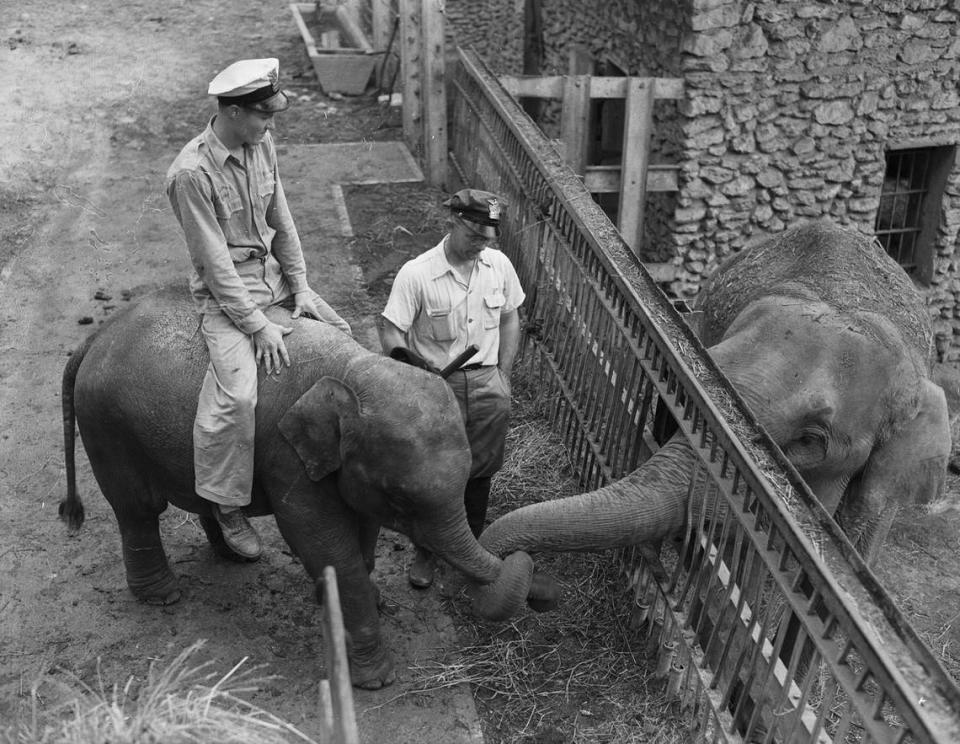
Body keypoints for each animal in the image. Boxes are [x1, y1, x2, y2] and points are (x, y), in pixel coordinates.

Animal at [60, 288, 540, 688]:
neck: (353, 370)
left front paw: (357, 601)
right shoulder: (288, 457)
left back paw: (234, 554)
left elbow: (361, 536)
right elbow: (323, 545)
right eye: (401, 499)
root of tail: (93, 339)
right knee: (137, 509)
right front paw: (375, 679)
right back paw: (163, 597)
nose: (535, 582)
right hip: (107, 426)